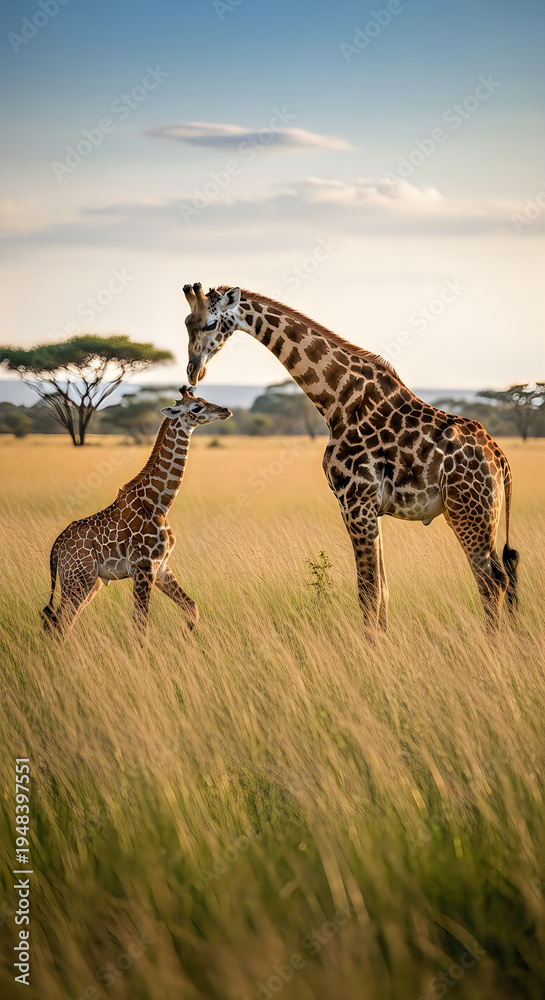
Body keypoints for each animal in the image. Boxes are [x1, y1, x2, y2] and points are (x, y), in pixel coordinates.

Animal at [42, 387, 231, 637]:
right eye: (197, 407)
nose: (225, 410)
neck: (159, 504)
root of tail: (56, 548)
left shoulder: (161, 567)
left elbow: (192, 608)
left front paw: (184, 639)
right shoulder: (143, 568)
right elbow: (140, 624)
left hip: (90, 582)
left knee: (61, 623)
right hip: (78, 579)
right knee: (59, 624)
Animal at [183, 282, 519, 631]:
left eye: (210, 323)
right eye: (186, 323)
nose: (193, 371)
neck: (339, 401)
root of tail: (501, 461)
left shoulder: (356, 501)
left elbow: (368, 592)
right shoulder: (369, 507)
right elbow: (382, 591)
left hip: (470, 511)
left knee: (491, 582)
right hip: (470, 514)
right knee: (501, 579)